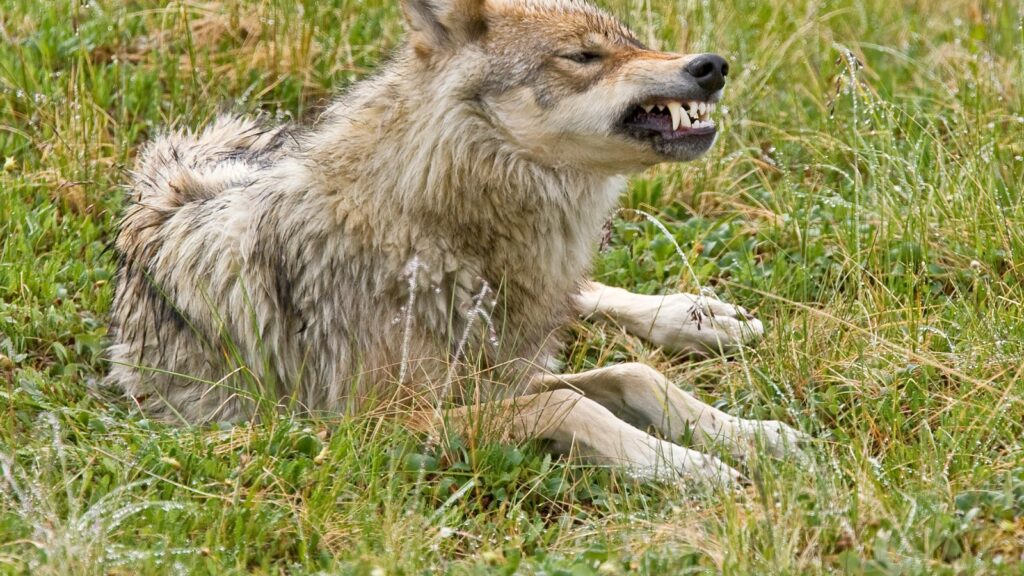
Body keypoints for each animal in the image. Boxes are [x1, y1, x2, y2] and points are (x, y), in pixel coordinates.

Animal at [108, 0, 804, 484]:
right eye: (583, 57)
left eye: (635, 43)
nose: (711, 66)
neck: (439, 233)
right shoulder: (370, 424)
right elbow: (573, 407)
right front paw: (689, 467)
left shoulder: (502, 372)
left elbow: (638, 375)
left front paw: (751, 434)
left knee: (585, 297)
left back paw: (701, 318)